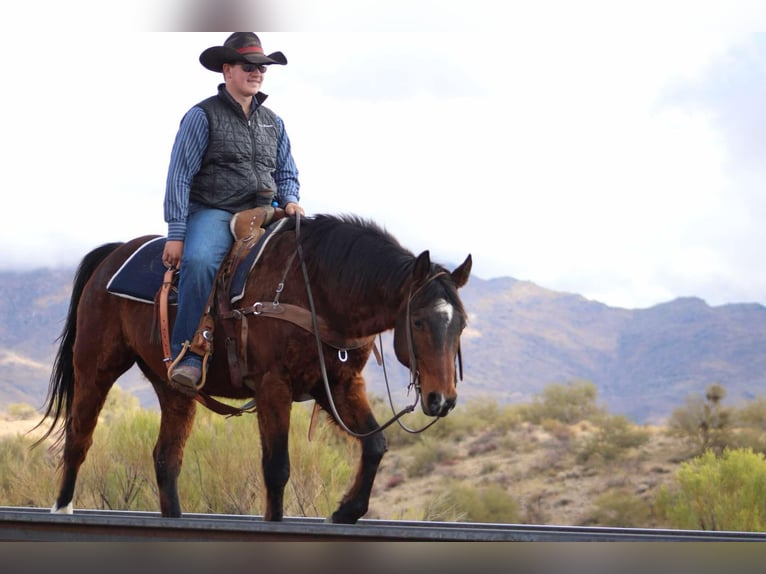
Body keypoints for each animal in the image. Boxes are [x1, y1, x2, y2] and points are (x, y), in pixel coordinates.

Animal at [35, 213, 472, 523]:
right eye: (419, 322)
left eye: (462, 324)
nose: (442, 400)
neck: (317, 289)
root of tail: (113, 253)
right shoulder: (272, 386)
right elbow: (277, 468)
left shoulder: (339, 384)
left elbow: (375, 444)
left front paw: (346, 510)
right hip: (95, 365)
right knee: (79, 438)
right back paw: (62, 509)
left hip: (173, 388)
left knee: (166, 458)